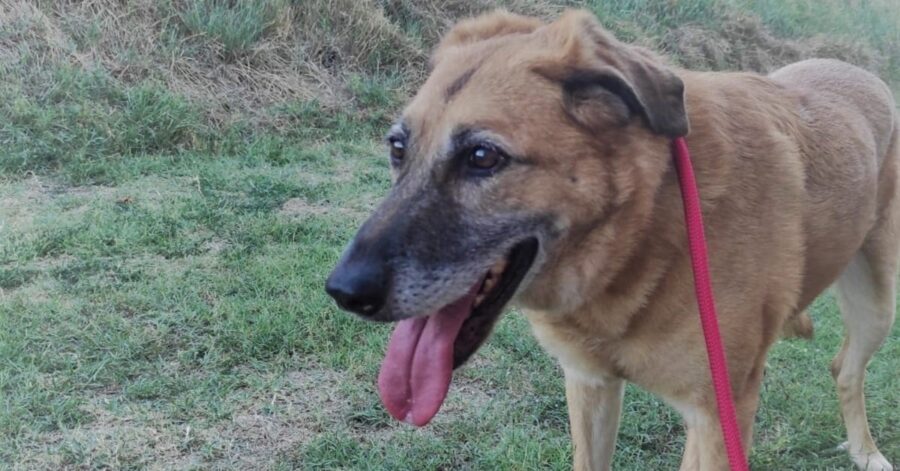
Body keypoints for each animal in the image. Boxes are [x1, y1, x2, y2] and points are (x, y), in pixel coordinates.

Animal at [326, 8, 896, 471]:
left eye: (482, 157)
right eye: (398, 148)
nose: (343, 292)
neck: (646, 236)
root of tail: (861, 71)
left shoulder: (717, 420)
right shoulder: (590, 385)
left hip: (877, 307)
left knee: (847, 369)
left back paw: (866, 452)